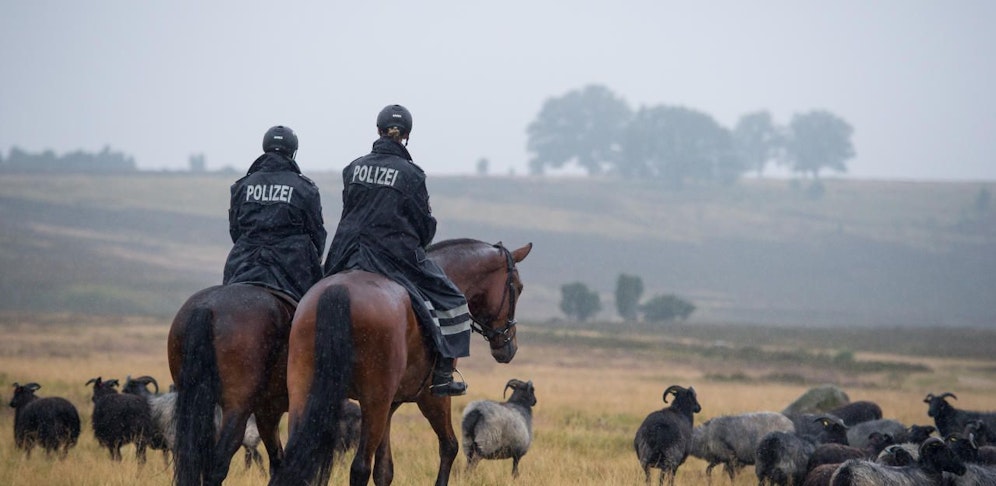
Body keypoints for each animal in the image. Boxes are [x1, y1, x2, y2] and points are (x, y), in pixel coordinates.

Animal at [269, 238, 532, 486]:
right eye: (518, 288)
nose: (509, 347)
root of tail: (337, 290)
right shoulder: (431, 397)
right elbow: (449, 446)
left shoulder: (391, 405)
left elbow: (384, 470)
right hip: (374, 402)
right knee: (359, 467)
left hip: (307, 393)